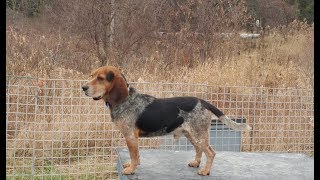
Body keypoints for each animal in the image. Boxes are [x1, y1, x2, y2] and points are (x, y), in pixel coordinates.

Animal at [81, 65, 251, 175]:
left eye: (100, 78)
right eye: (91, 76)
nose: (83, 87)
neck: (125, 100)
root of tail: (202, 101)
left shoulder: (130, 136)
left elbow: (134, 155)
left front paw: (131, 169)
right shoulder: (133, 138)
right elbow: (135, 155)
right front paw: (132, 165)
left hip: (199, 135)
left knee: (211, 153)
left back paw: (205, 171)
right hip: (192, 135)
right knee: (199, 150)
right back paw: (196, 163)